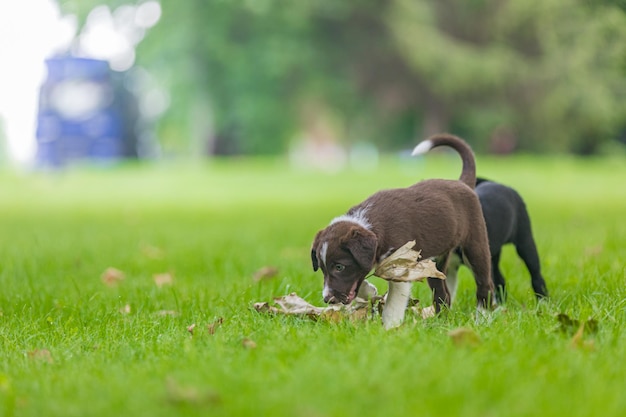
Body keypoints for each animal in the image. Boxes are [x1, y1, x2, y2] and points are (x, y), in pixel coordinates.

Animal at [310, 133, 494, 328]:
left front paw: (389, 326)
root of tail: (462, 183)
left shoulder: (400, 267)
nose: (328, 299)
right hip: (435, 263)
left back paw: (482, 318)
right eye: (322, 268)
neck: (371, 224)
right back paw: (439, 322)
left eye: (339, 267)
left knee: (484, 284)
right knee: (442, 293)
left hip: (476, 244)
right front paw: (368, 291)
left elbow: (394, 301)